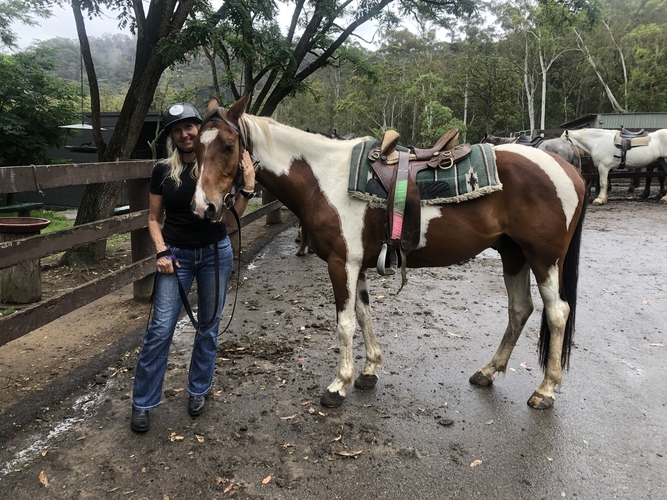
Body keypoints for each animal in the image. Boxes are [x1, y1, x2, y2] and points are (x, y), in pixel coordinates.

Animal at [192, 95, 587, 410]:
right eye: (197, 145)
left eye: (228, 146)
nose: (203, 207)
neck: (324, 178)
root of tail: (570, 169)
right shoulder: (358, 265)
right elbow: (364, 314)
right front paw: (369, 370)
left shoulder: (342, 263)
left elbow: (345, 323)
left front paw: (338, 385)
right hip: (514, 254)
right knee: (520, 310)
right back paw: (488, 372)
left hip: (544, 259)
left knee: (557, 314)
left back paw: (545, 390)